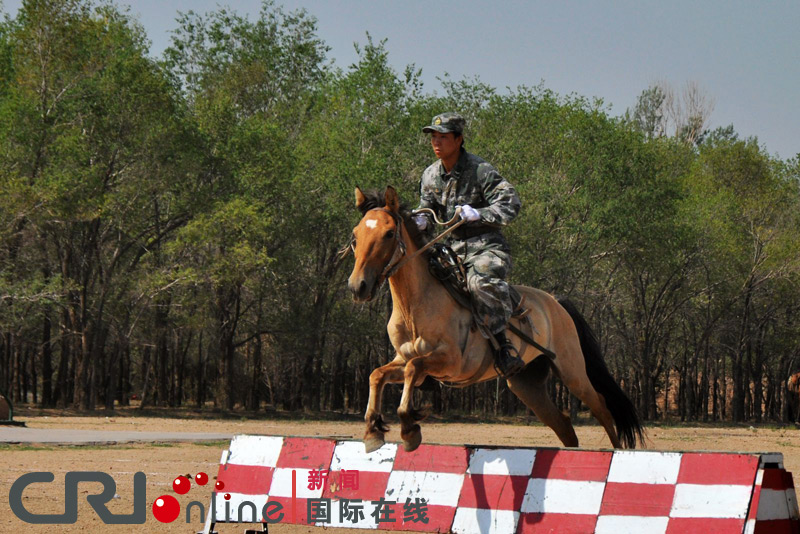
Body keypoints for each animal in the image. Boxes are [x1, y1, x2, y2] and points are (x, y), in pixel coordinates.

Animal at [346, 186, 644, 454]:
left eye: (388, 233)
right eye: (355, 236)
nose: (358, 286)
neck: (414, 306)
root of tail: (556, 302)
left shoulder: (451, 362)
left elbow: (412, 369)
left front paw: (409, 428)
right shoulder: (403, 360)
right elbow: (377, 374)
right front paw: (372, 430)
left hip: (573, 374)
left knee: (602, 407)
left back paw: (616, 451)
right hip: (527, 386)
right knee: (565, 427)